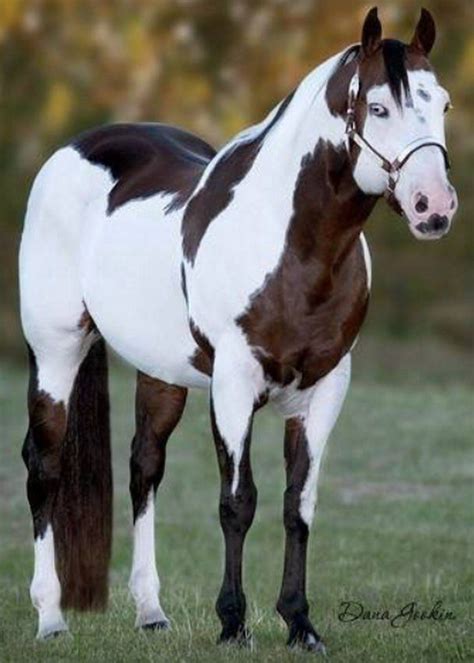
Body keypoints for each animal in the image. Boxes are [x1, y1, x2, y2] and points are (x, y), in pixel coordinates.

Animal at [19, 7, 457, 652]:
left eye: (443, 104)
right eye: (378, 107)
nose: (435, 207)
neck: (293, 247)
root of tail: (73, 150)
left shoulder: (325, 389)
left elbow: (299, 504)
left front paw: (300, 624)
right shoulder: (233, 384)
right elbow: (238, 502)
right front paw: (233, 624)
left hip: (161, 374)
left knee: (144, 468)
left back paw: (151, 613)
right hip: (56, 351)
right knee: (44, 466)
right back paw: (51, 619)